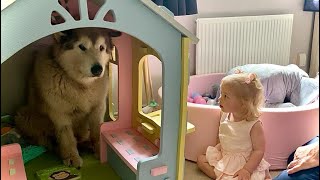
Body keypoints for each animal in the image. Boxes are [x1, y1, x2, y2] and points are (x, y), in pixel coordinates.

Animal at [14, 27, 121, 167]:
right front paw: (71, 156)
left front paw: (99, 149)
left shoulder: (98, 108)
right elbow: (67, 137)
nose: (98, 69)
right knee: (44, 138)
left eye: (101, 47)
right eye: (82, 46)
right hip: (23, 116)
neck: (81, 84)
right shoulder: (59, 113)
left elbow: (97, 131)